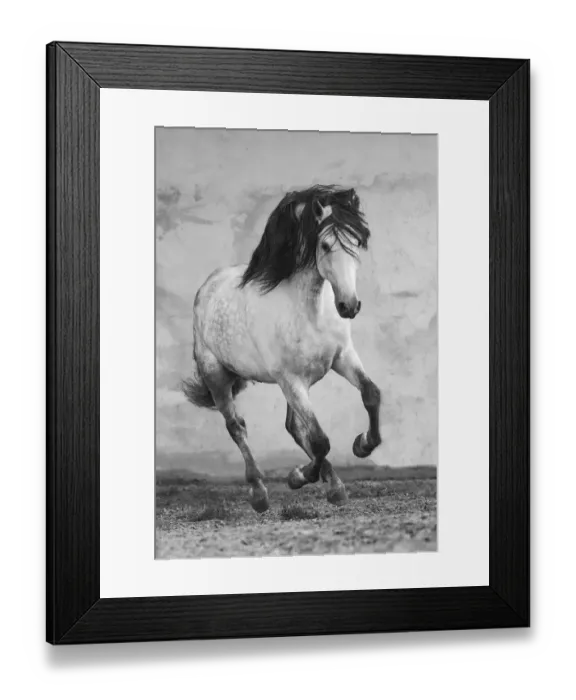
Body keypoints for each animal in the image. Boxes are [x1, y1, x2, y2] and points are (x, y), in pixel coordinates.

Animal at [182, 184, 382, 513]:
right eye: (325, 245)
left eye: (357, 242)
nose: (349, 306)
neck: (311, 311)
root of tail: (209, 285)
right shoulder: (290, 379)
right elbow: (320, 440)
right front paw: (299, 476)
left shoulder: (342, 358)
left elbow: (371, 394)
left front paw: (362, 444)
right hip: (218, 375)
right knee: (237, 427)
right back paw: (259, 493)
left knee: (294, 428)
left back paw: (334, 485)